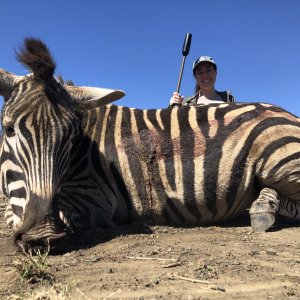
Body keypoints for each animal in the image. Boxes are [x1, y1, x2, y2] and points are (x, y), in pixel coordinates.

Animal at [0, 37, 298, 248]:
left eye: (70, 139)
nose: (43, 234)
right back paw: (262, 205)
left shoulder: (95, 201)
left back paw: (262, 209)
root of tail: (287, 113)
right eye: (8, 129)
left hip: (279, 159)